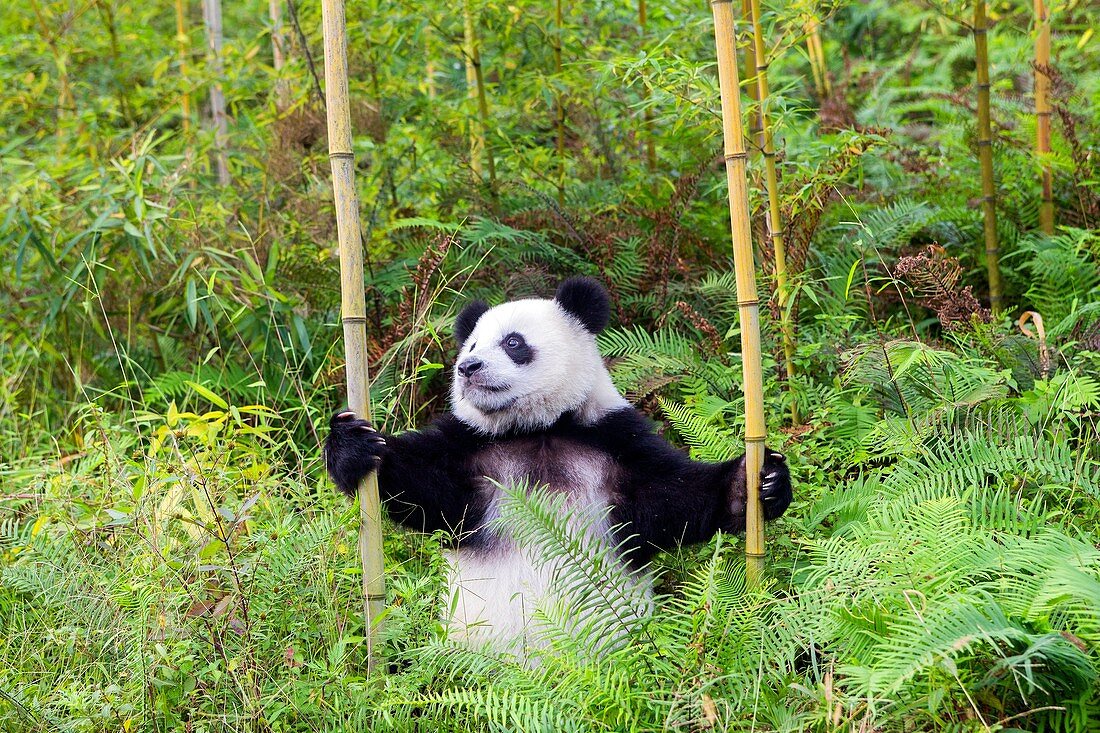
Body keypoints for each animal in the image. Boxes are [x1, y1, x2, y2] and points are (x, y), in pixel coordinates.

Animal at [321, 277, 796, 647]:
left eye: (512, 342)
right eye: (470, 344)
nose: (467, 367)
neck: (536, 429)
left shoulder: (614, 441)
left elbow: (672, 499)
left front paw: (762, 481)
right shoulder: (471, 452)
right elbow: (423, 489)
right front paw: (353, 446)